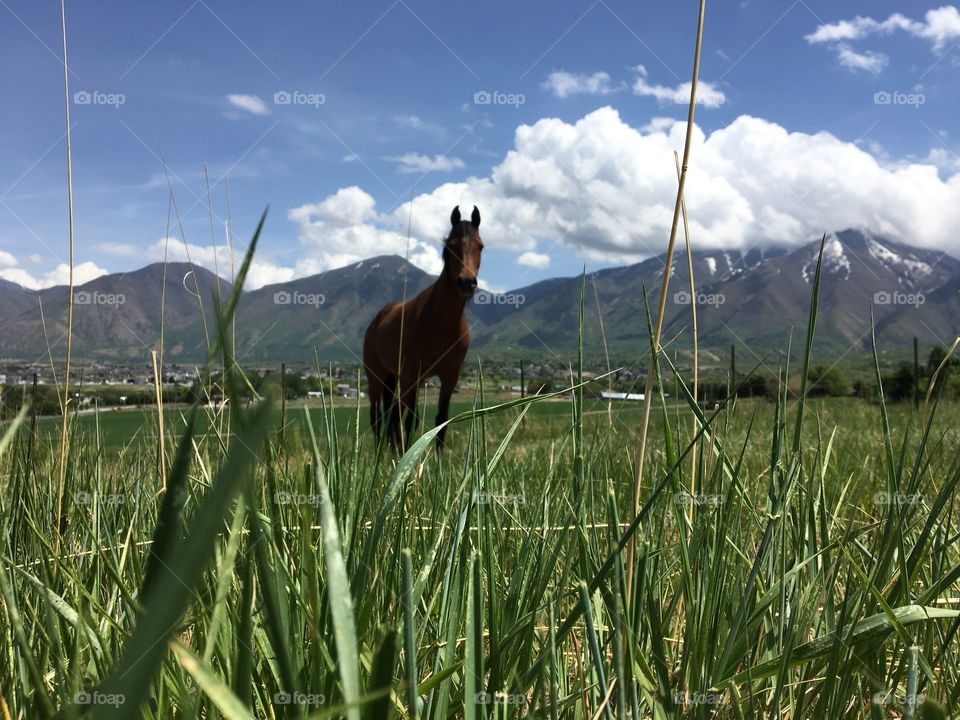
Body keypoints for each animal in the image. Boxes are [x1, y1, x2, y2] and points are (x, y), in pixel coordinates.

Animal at [363, 205, 483, 451]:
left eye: (480, 246)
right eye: (451, 245)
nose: (466, 282)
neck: (440, 322)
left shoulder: (449, 377)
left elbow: (441, 420)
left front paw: (437, 460)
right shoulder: (414, 375)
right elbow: (411, 420)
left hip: (394, 378)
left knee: (392, 415)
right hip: (377, 378)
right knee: (378, 417)